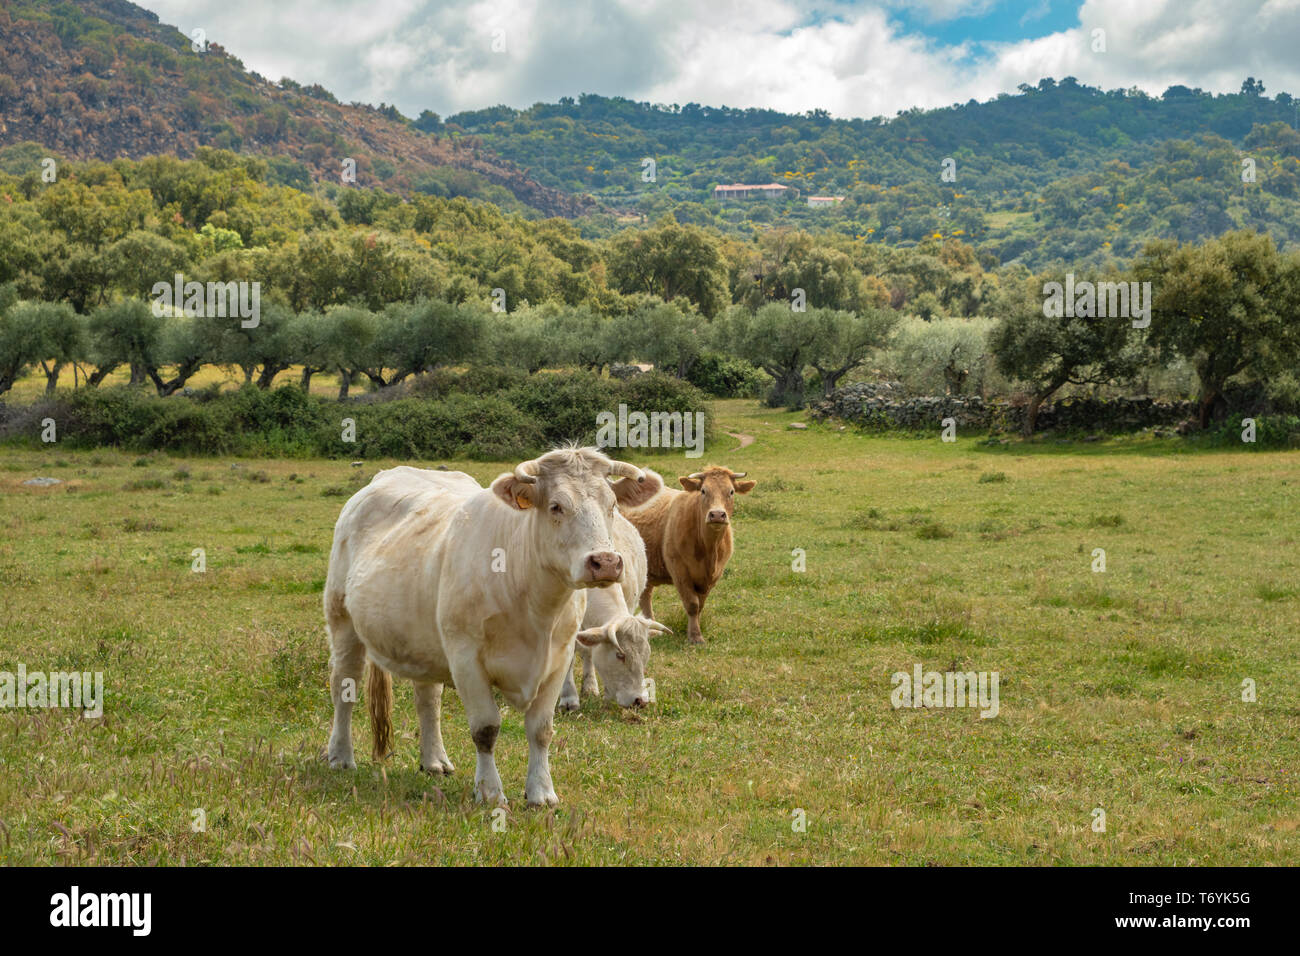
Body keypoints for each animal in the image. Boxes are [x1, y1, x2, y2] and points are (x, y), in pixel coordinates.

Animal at [319, 447, 655, 806]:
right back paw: (340, 756)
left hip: (423, 642)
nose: (605, 562)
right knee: (344, 686)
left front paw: (541, 792)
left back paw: (434, 759)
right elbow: (485, 728)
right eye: (556, 506)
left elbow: (541, 729)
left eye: (612, 505)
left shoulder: (559, 657)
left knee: (428, 699)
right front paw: (489, 791)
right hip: (342, 622)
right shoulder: (466, 659)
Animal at [616, 463, 754, 642]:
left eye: (731, 492)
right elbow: (692, 604)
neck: (708, 550)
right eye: (703, 491)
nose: (717, 514)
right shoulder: (679, 570)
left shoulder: (713, 576)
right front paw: (695, 636)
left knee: (645, 595)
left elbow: (700, 605)